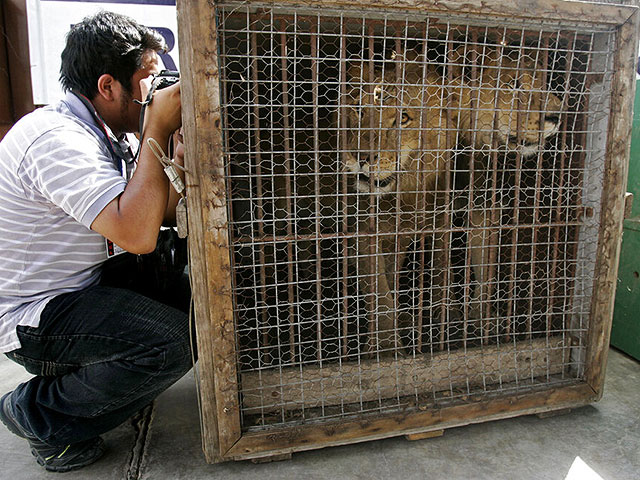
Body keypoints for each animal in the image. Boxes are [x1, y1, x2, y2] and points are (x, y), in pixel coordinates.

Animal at [344, 46, 560, 352]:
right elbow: (382, 295)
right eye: (513, 85)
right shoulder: (370, 229)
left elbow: (475, 272)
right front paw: (386, 347)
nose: (557, 115)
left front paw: (472, 321)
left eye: (403, 118)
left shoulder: (472, 212)